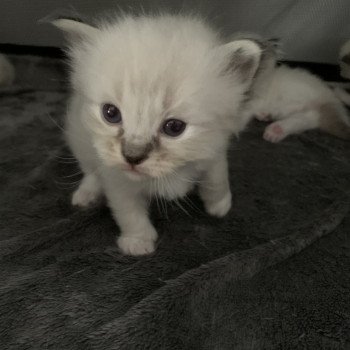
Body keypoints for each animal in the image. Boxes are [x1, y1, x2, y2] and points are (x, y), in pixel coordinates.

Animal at [52, 14, 262, 254]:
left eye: (174, 127)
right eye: (111, 113)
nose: (132, 157)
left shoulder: (214, 151)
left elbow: (217, 178)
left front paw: (220, 205)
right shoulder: (117, 179)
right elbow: (129, 212)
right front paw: (138, 242)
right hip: (80, 140)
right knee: (90, 172)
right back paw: (86, 195)